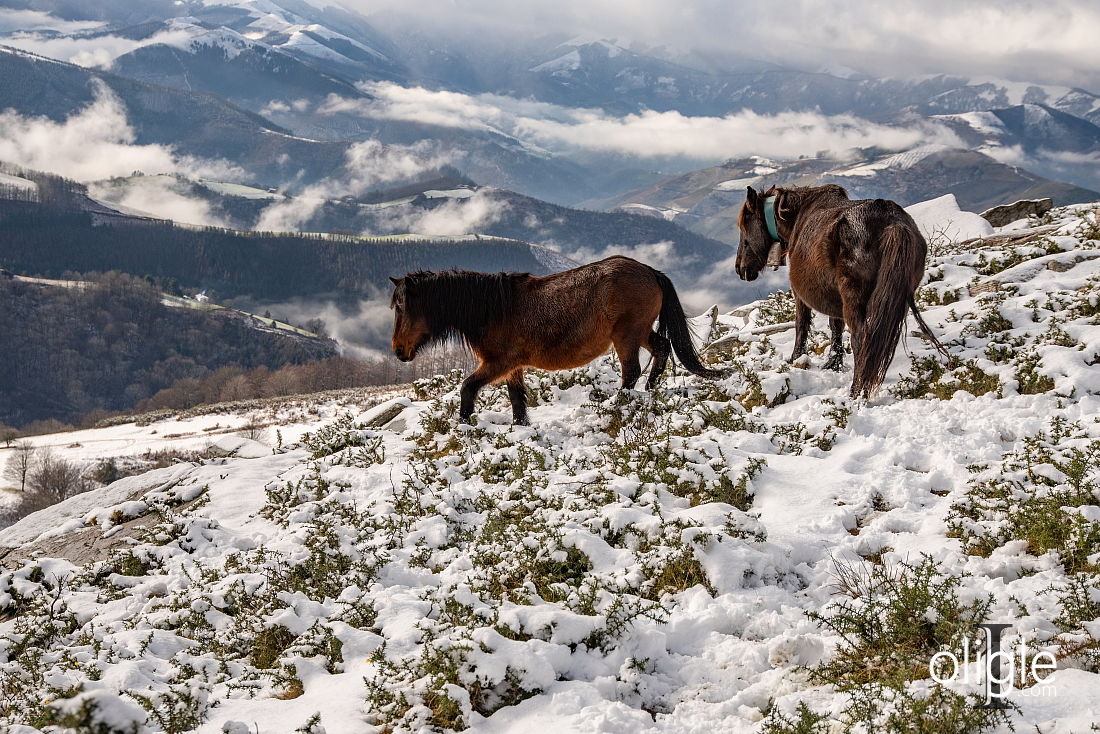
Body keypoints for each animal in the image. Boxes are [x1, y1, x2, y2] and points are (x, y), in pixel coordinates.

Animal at [389, 255, 721, 424]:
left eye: (402, 306)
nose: (398, 350)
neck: (492, 309)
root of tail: (650, 271)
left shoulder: (497, 363)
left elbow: (467, 388)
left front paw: (464, 425)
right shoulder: (512, 367)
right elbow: (517, 400)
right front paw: (520, 428)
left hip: (627, 335)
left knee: (631, 371)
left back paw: (620, 405)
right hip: (639, 332)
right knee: (661, 349)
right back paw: (651, 392)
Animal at [734, 187, 950, 398]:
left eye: (744, 228)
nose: (740, 268)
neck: (795, 217)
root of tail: (893, 225)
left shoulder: (800, 295)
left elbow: (802, 325)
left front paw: (796, 359)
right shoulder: (835, 299)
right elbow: (835, 327)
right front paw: (833, 363)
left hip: (854, 302)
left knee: (860, 341)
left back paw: (856, 391)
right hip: (896, 301)